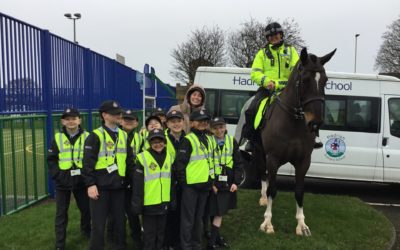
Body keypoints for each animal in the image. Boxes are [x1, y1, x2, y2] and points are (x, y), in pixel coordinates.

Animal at [255, 47, 336, 236]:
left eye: (325, 81)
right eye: (305, 80)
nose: (315, 123)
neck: (291, 123)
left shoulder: (303, 161)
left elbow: (299, 191)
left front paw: (302, 225)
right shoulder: (273, 158)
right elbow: (272, 189)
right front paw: (267, 223)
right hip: (259, 151)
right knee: (263, 174)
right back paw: (263, 198)